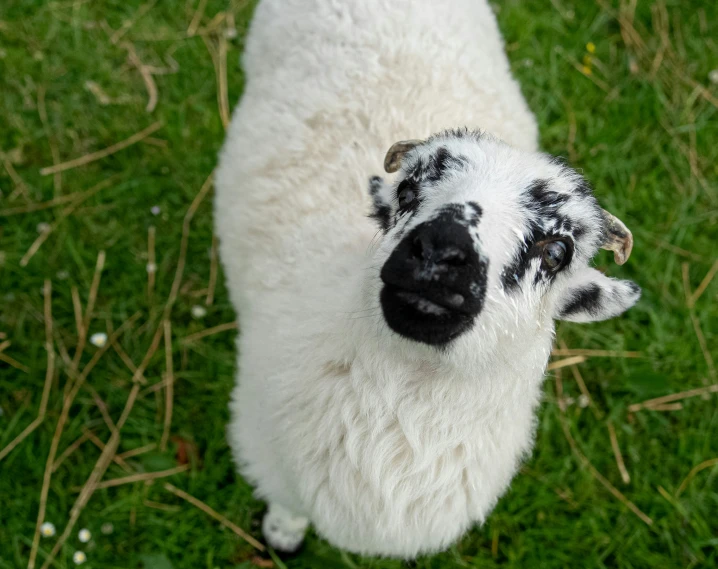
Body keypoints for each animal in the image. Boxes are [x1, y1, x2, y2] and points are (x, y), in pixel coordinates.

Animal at [215, 0, 640, 560]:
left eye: (557, 251)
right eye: (408, 191)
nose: (439, 250)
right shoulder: (267, 452)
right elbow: (287, 504)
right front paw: (282, 536)